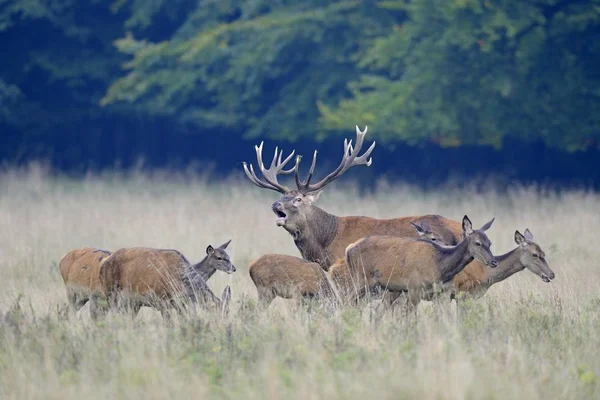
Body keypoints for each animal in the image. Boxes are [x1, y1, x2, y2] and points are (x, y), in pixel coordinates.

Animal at [97, 241, 236, 318]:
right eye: (219, 257)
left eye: (228, 312)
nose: (233, 268)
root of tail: (104, 262)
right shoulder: (163, 301)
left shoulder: (181, 304)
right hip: (111, 294)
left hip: (132, 303)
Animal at [344, 216, 494, 310]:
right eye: (478, 243)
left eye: (490, 242)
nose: (493, 262)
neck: (439, 266)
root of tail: (349, 248)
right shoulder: (414, 288)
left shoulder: (444, 292)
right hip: (361, 279)